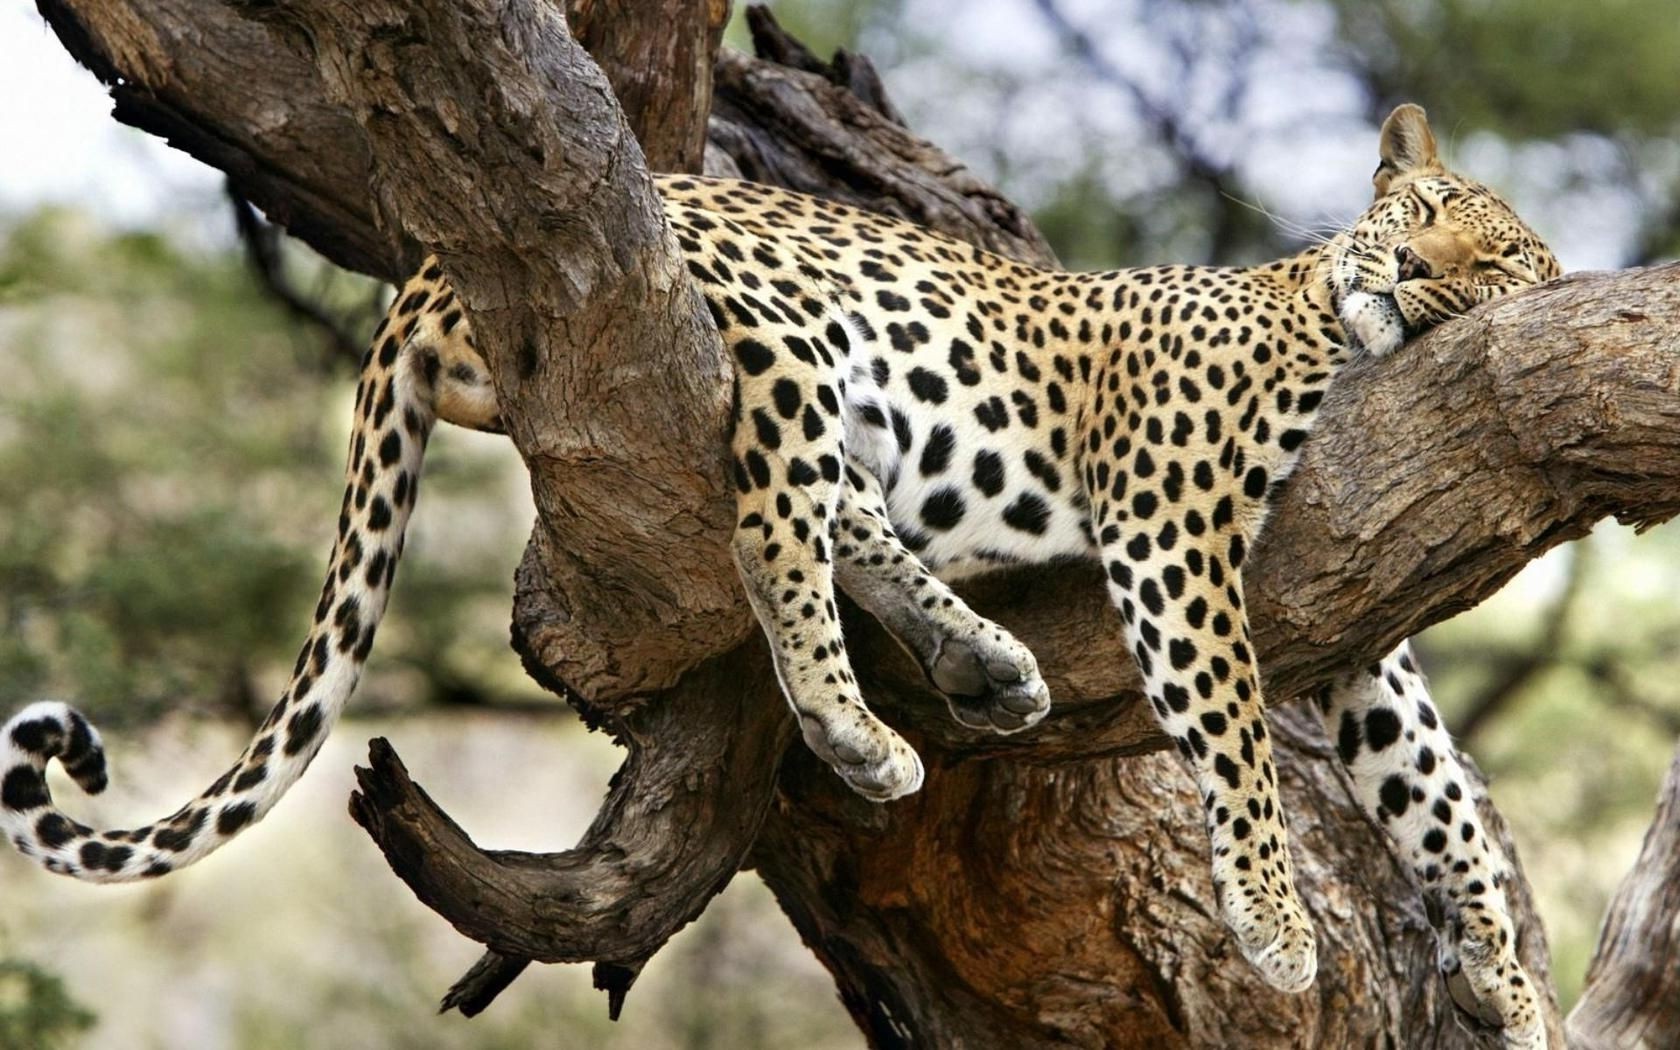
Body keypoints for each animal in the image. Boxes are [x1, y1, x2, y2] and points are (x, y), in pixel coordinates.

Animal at [0, 102, 1545, 1041]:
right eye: (1425, 207)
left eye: (1500, 259)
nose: (1416, 266)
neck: (1332, 327)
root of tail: (432, 264)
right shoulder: (1172, 522)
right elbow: (1235, 736)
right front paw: (1278, 927)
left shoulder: (1360, 619)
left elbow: (1436, 792)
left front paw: (1512, 981)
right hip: (790, 335)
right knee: (773, 528)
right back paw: (860, 730)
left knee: (843, 512)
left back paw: (982, 662)